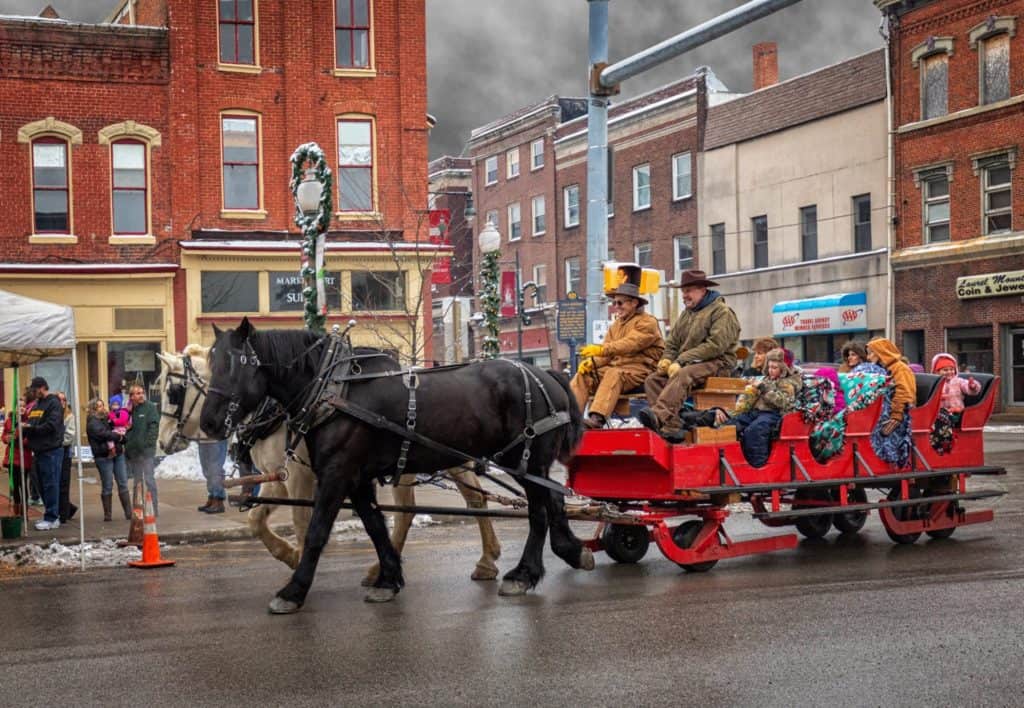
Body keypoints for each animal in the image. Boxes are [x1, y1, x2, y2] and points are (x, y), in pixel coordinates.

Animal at [199, 317, 593, 610]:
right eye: (210, 364)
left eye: (235, 365)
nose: (209, 423)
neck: (332, 390)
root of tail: (546, 375)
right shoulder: (355, 478)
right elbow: (375, 526)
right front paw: (387, 579)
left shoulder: (335, 473)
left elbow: (315, 531)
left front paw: (293, 590)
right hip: (526, 465)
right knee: (552, 501)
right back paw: (572, 552)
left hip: (526, 460)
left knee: (537, 511)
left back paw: (522, 574)